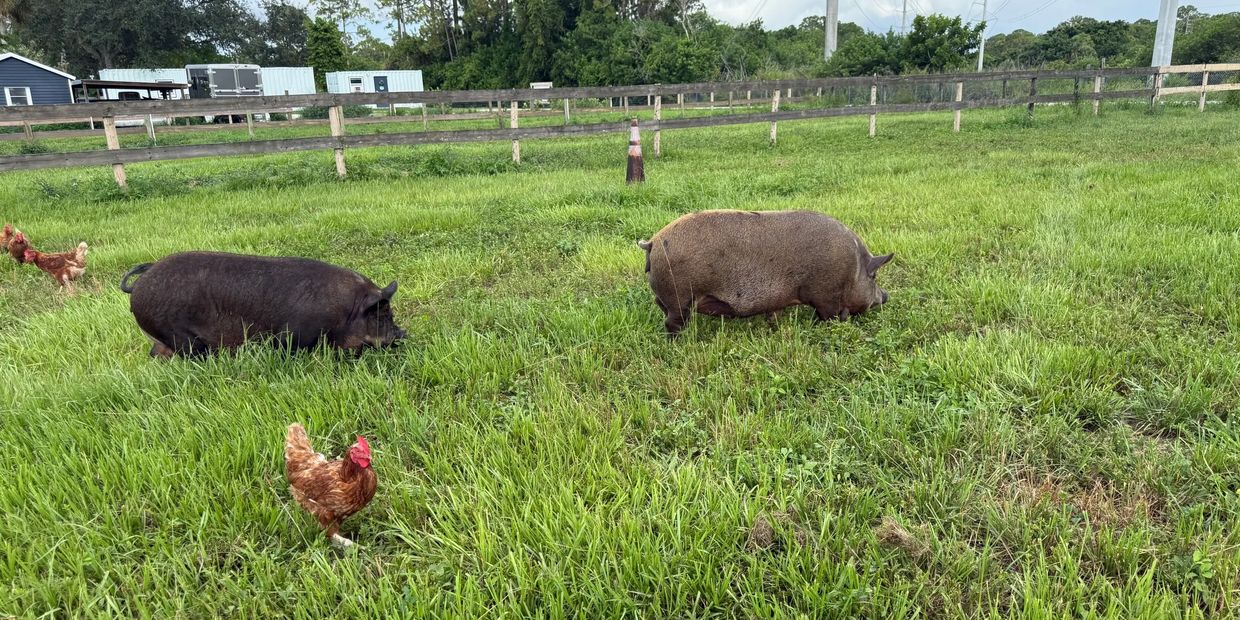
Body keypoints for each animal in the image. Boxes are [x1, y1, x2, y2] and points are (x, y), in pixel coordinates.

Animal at [119, 251, 406, 357]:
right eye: (382, 315)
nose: (403, 333)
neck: (347, 312)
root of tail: (139, 284)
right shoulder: (291, 336)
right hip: (180, 336)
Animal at [637, 210, 893, 337]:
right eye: (873, 276)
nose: (886, 296)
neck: (853, 268)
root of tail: (653, 242)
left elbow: (774, 315)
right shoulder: (826, 296)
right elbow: (828, 317)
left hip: (665, 299)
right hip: (679, 299)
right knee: (672, 324)